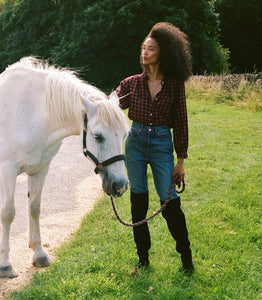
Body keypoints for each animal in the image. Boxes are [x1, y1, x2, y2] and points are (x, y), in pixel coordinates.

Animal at [0, 56, 128, 278]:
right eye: (98, 136)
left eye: (124, 134)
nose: (119, 185)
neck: (30, 114)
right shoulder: (7, 171)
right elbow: (8, 213)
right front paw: (6, 264)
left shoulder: (40, 170)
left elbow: (34, 208)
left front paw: (39, 254)